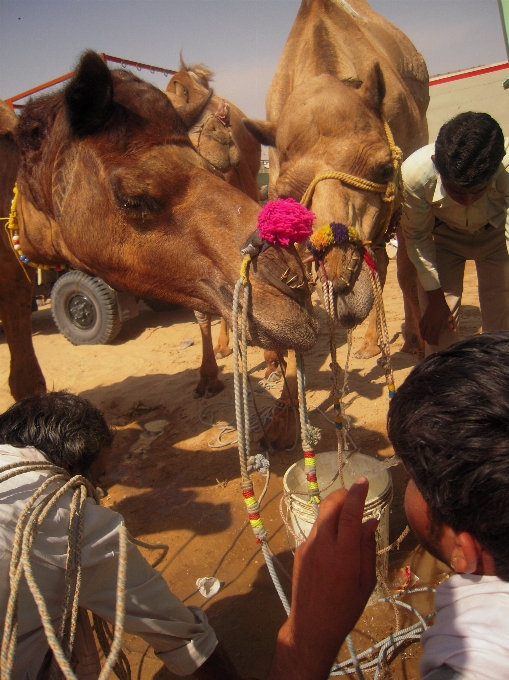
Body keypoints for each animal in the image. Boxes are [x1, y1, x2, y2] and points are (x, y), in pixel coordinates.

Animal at [244, 0, 426, 448]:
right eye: (286, 194)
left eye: (382, 168)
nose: (341, 287)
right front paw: (282, 419)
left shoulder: (405, 187)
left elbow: (407, 268)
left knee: (396, 265)